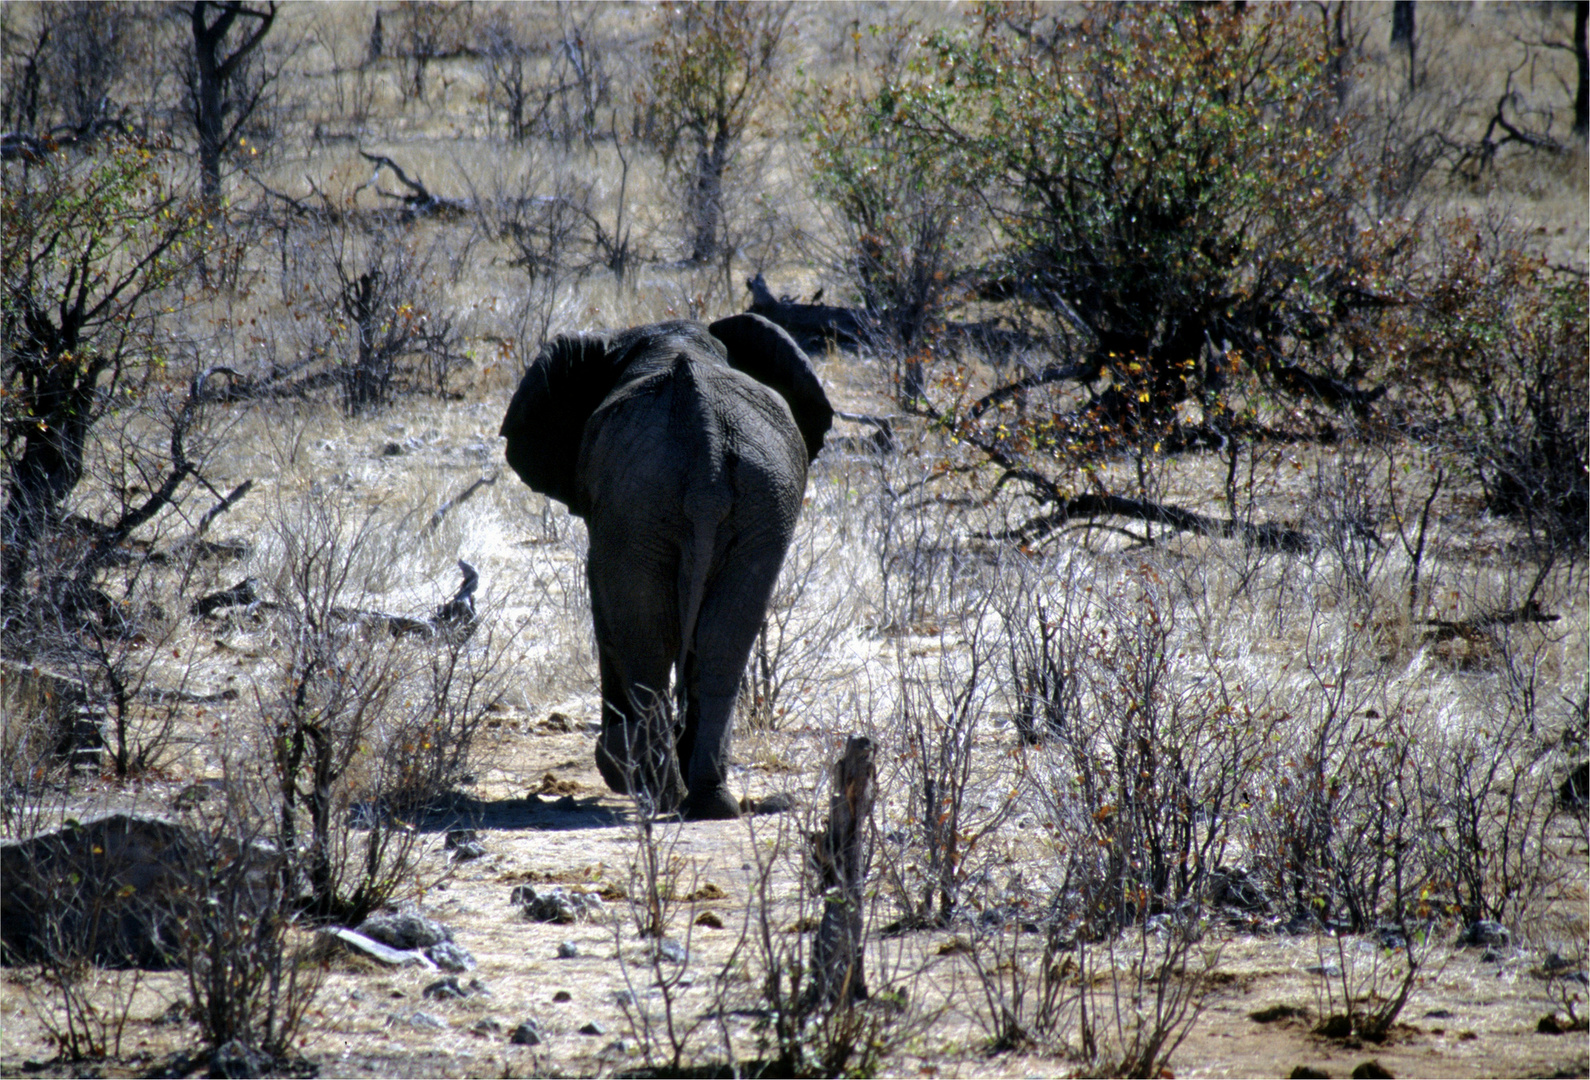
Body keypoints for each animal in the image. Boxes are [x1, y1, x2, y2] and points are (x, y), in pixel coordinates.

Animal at [502, 313, 839, 820]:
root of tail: (708, 453)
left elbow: (605, 607)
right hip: (761, 500)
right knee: (724, 641)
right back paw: (707, 802)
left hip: (641, 504)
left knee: (649, 640)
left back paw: (655, 791)